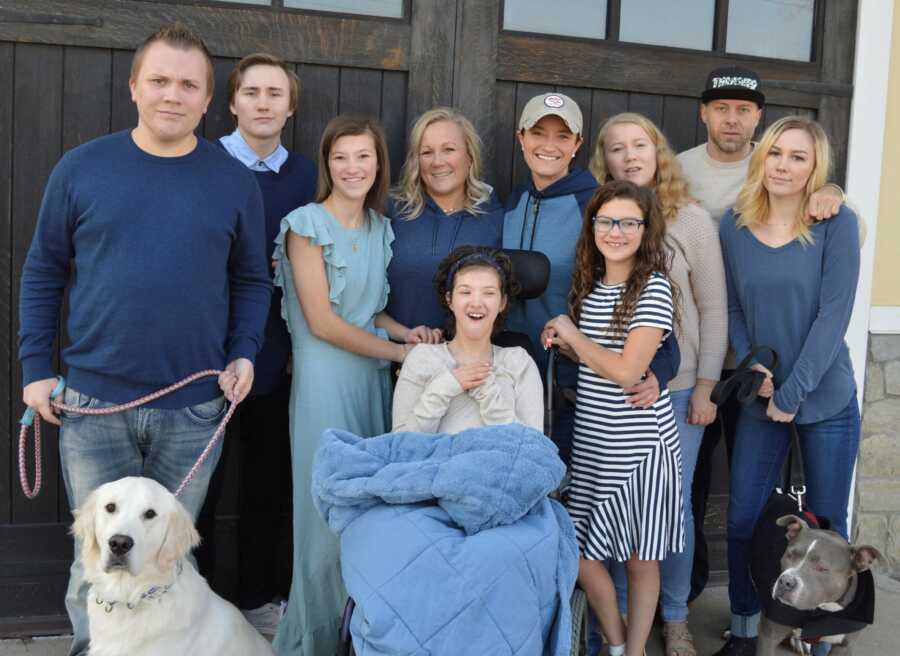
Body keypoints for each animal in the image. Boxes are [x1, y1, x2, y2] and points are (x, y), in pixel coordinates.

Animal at [756, 516, 884, 652]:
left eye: (822, 568)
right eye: (790, 555)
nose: (786, 582)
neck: (823, 610)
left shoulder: (844, 647)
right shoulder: (768, 637)